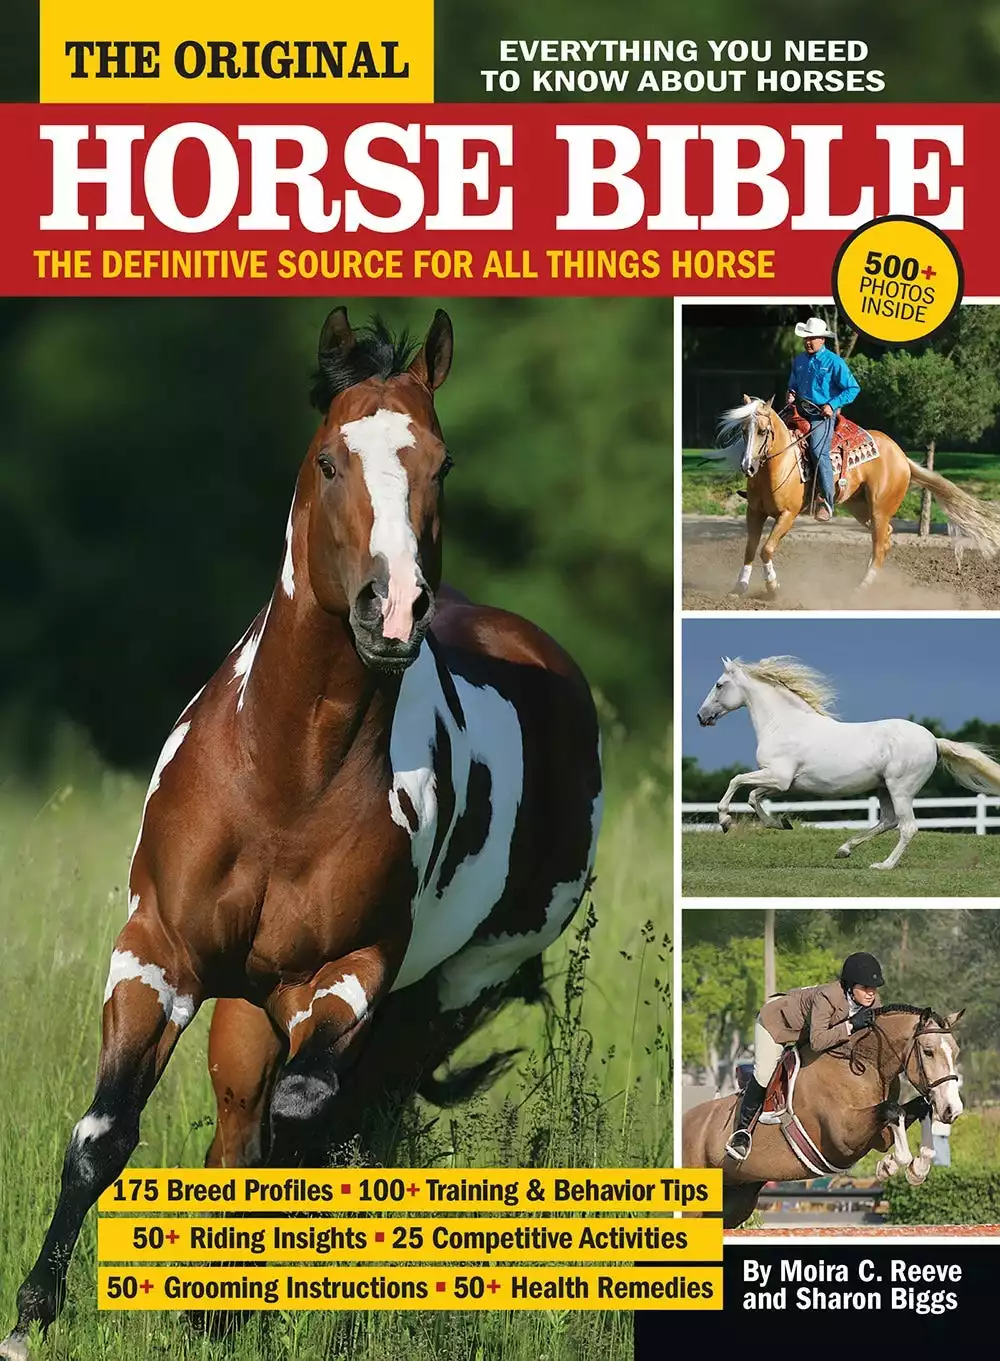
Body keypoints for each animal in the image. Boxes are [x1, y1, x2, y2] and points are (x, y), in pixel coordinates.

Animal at [0, 307, 603, 1360]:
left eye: (441, 463)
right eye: (329, 460)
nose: (392, 609)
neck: (285, 778)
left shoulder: (351, 972)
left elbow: (307, 1119)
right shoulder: (157, 952)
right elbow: (105, 1133)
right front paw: (34, 1313)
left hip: (450, 991)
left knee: (355, 1124)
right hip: (251, 1003)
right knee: (247, 1128)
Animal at [682, 1004, 964, 1229]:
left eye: (956, 1051)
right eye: (928, 1051)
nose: (953, 1110)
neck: (863, 1063)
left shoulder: (876, 1135)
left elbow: (915, 1109)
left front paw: (912, 1168)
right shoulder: (843, 1139)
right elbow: (894, 1110)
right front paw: (894, 1165)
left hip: (735, 1200)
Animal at [695, 655, 1000, 869]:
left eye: (719, 685)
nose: (701, 716)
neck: (783, 724)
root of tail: (933, 740)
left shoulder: (778, 776)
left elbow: (737, 782)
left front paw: (725, 821)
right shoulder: (781, 783)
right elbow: (753, 797)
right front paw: (780, 823)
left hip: (900, 789)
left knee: (907, 827)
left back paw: (883, 865)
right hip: (883, 788)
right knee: (888, 821)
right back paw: (844, 850)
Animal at [715, 396, 1000, 598]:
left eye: (763, 430)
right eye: (743, 431)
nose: (748, 466)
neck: (781, 465)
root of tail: (901, 456)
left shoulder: (788, 515)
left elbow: (766, 548)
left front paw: (773, 587)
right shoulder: (754, 512)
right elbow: (750, 548)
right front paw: (739, 587)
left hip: (879, 509)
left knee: (879, 545)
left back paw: (861, 587)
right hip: (861, 509)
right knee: (884, 539)